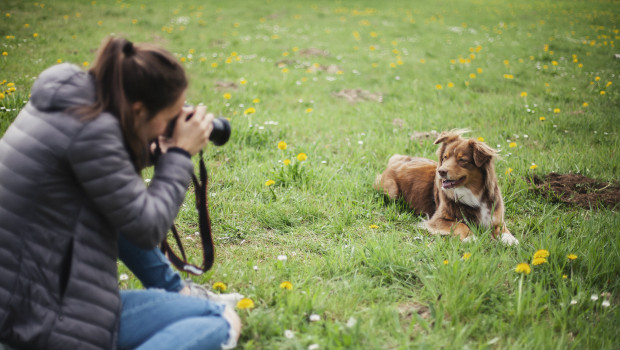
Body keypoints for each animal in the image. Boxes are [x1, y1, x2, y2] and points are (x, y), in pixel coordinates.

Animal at [376, 129, 520, 246]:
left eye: (462, 160)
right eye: (445, 157)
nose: (441, 171)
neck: (473, 193)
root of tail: (396, 160)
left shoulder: (495, 215)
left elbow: (502, 227)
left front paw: (509, 239)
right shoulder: (437, 219)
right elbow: (460, 224)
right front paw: (471, 238)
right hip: (392, 191)